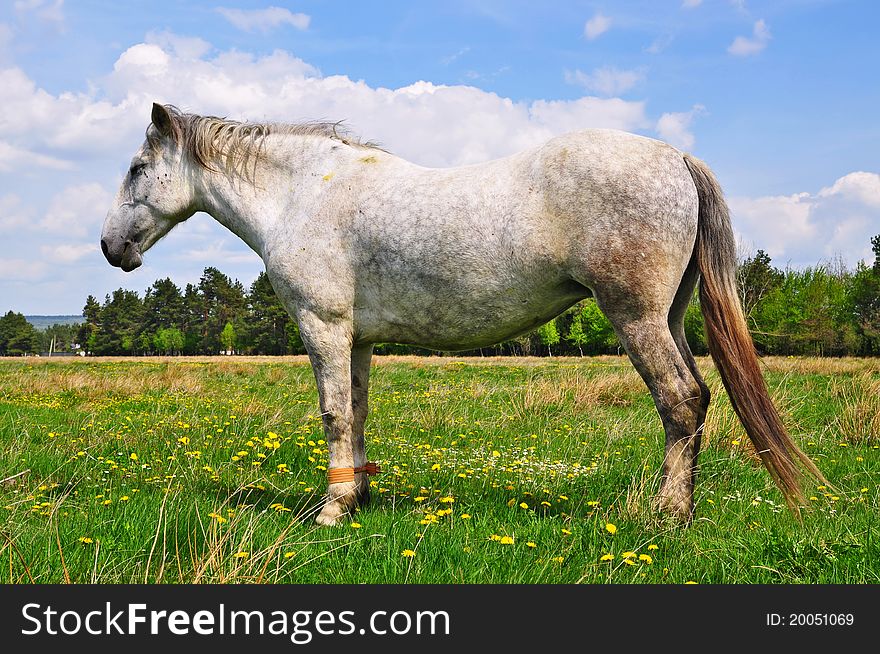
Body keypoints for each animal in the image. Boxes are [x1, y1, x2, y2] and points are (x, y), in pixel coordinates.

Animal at [103, 104, 824, 528]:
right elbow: (357, 413)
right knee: (694, 398)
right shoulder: (358, 339)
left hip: (635, 316)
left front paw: (332, 512)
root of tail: (674, 156)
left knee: (681, 400)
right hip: (667, 316)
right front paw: (358, 498)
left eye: (137, 168)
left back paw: (667, 517)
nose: (112, 248)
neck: (304, 194)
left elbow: (333, 413)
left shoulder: (323, 325)